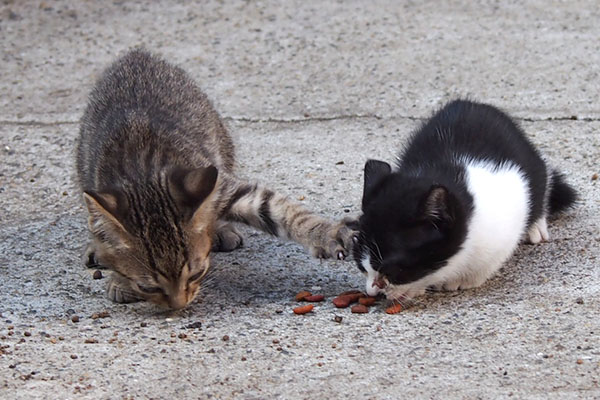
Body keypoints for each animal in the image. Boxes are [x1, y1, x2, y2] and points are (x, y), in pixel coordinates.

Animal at [77, 49, 354, 310]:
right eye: (148, 287)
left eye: (197, 273)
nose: (178, 305)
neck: (143, 174)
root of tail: (136, 55)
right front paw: (119, 278)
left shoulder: (222, 186)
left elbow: (279, 210)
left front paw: (327, 234)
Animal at [352, 99, 576, 300]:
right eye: (360, 265)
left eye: (393, 270)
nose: (371, 292)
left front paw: (463, 280)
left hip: (533, 163)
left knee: (542, 179)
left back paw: (535, 225)